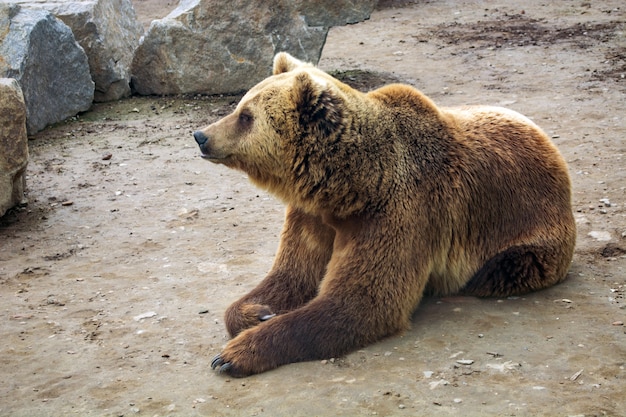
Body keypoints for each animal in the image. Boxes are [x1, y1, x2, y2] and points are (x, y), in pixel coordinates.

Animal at [191, 52, 576, 376]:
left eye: (246, 116)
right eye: (240, 106)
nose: (200, 135)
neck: (348, 187)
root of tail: (550, 145)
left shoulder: (398, 210)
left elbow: (363, 302)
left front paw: (235, 353)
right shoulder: (312, 214)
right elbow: (292, 275)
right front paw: (256, 312)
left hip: (528, 230)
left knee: (502, 268)